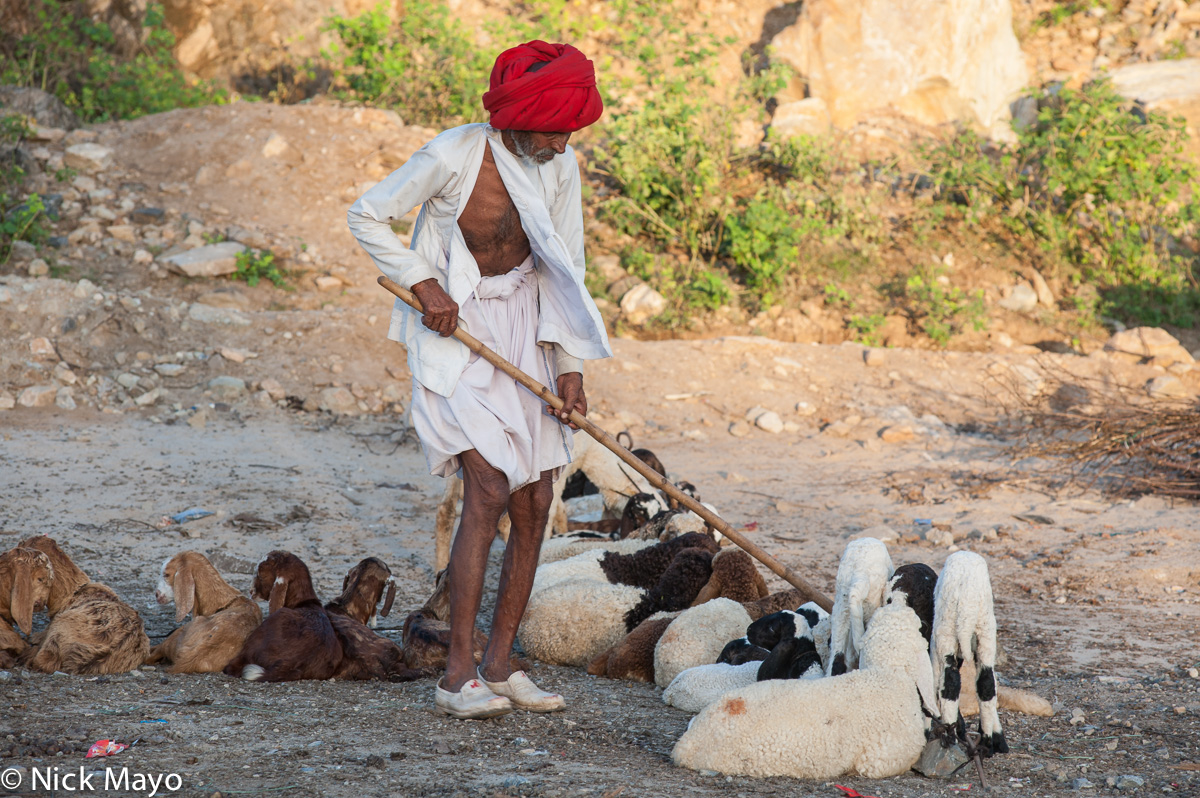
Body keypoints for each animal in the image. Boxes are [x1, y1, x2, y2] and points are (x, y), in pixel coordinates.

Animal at [931, 552, 1008, 758]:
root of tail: (968, 605)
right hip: (985, 632)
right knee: (986, 684)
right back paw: (987, 743)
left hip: (947, 630)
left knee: (951, 684)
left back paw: (951, 738)